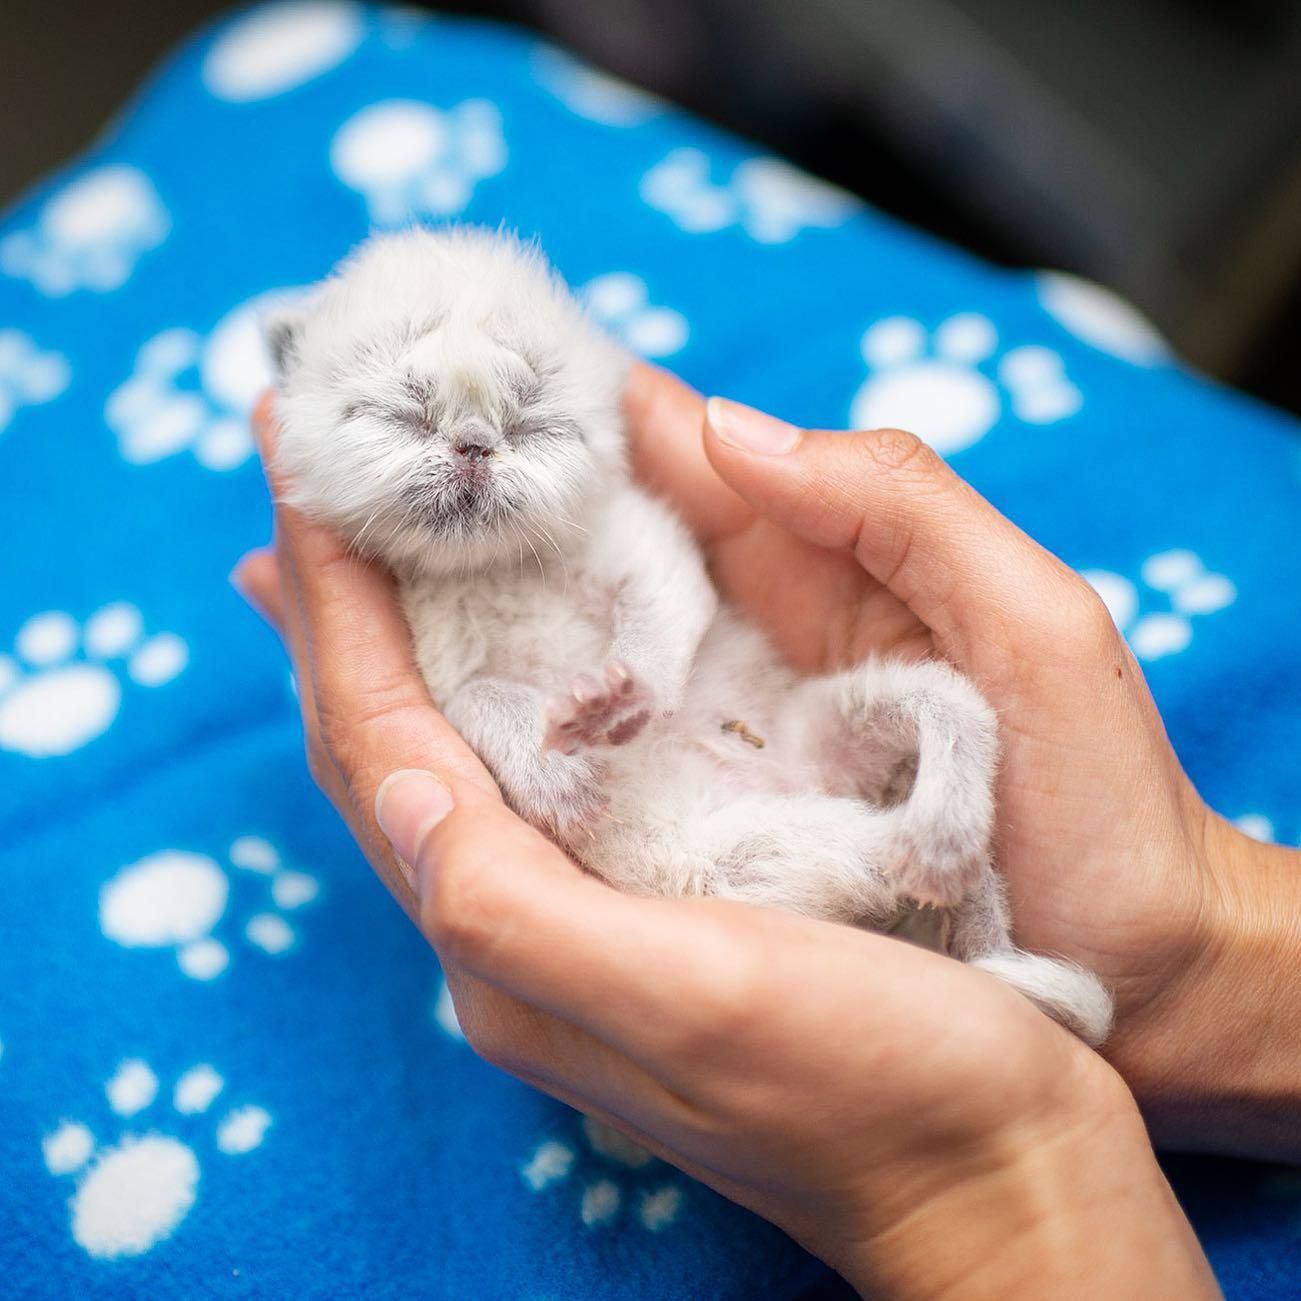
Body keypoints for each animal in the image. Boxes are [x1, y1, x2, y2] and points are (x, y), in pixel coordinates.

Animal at [269, 226, 1113, 1046]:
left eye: (536, 423)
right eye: (401, 414)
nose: (475, 444)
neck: (497, 566)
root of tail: (815, 786)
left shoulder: (638, 539)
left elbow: (663, 605)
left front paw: (623, 696)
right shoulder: (439, 660)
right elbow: (485, 698)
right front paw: (562, 779)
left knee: (953, 717)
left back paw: (945, 841)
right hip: (752, 854)